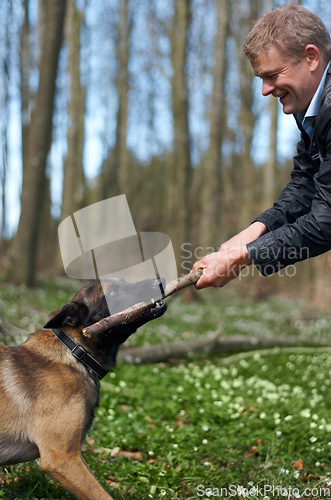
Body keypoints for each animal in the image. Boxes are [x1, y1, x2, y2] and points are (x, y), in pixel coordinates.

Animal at [0, 278, 166, 500]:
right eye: (114, 292)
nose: (160, 280)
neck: (75, 352)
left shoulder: (74, 456)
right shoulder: (62, 458)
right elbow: (103, 495)